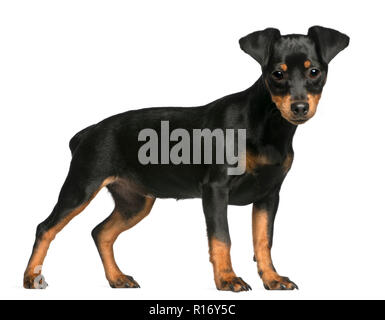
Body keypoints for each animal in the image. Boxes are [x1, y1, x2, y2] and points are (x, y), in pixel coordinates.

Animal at [23, 26, 348, 292]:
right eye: (277, 74)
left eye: (314, 72)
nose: (299, 107)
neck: (265, 125)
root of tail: (86, 133)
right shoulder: (215, 190)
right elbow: (222, 238)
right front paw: (227, 280)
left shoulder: (269, 195)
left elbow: (263, 240)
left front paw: (272, 279)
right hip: (81, 187)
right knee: (46, 227)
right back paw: (31, 277)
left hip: (135, 202)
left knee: (100, 232)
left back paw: (117, 278)